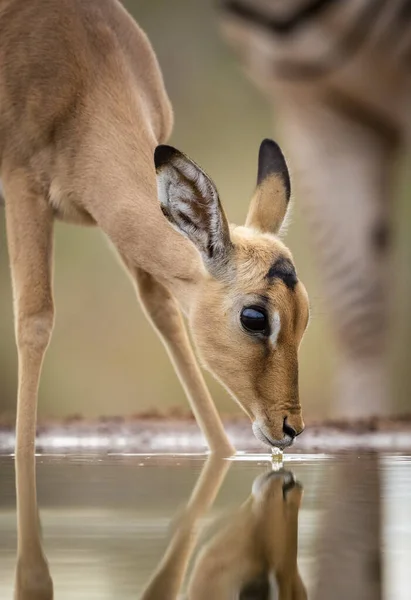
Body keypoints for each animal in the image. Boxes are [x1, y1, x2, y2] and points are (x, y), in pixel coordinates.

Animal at [0, 0, 308, 454]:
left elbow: (164, 314)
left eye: (305, 312)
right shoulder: (25, 190)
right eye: (254, 317)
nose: (290, 427)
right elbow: (34, 322)